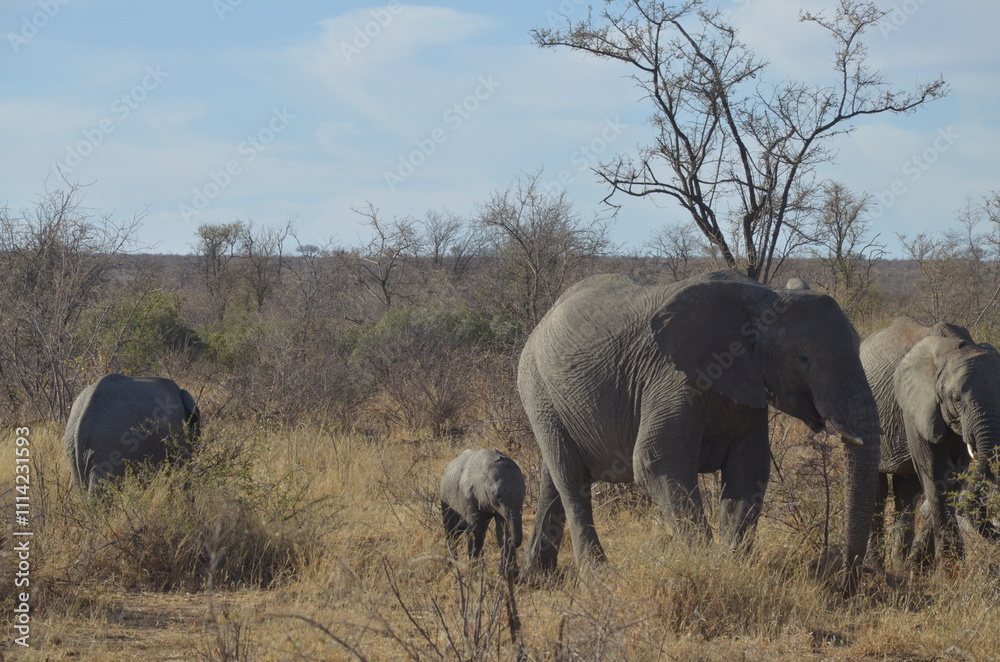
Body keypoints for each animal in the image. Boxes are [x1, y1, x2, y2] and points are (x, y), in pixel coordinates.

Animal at [440, 449, 526, 577]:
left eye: (525, 493)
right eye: (497, 496)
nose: (512, 542)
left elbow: (502, 530)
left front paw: (508, 574)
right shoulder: (468, 496)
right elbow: (476, 531)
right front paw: (474, 574)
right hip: (445, 498)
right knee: (452, 533)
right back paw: (451, 566)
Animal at [518, 269, 881, 592]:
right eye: (804, 359)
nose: (847, 586)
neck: (764, 295)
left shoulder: (748, 386)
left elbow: (748, 471)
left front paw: (730, 566)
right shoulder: (674, 377)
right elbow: (656, 461)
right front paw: (704, 565)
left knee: (552, 477)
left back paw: (536, 577)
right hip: (537, 388)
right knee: (570, 478)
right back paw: (598, 579)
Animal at [861, 316, 1000, 567]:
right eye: (956, 398)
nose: (996, 532)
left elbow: (951, 479)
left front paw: (922, 567)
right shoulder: (914, 406)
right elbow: (934, 473)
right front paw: (947, 570)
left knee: (906, 491)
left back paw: (900, 566)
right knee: (877, 488)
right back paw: (874, 567)